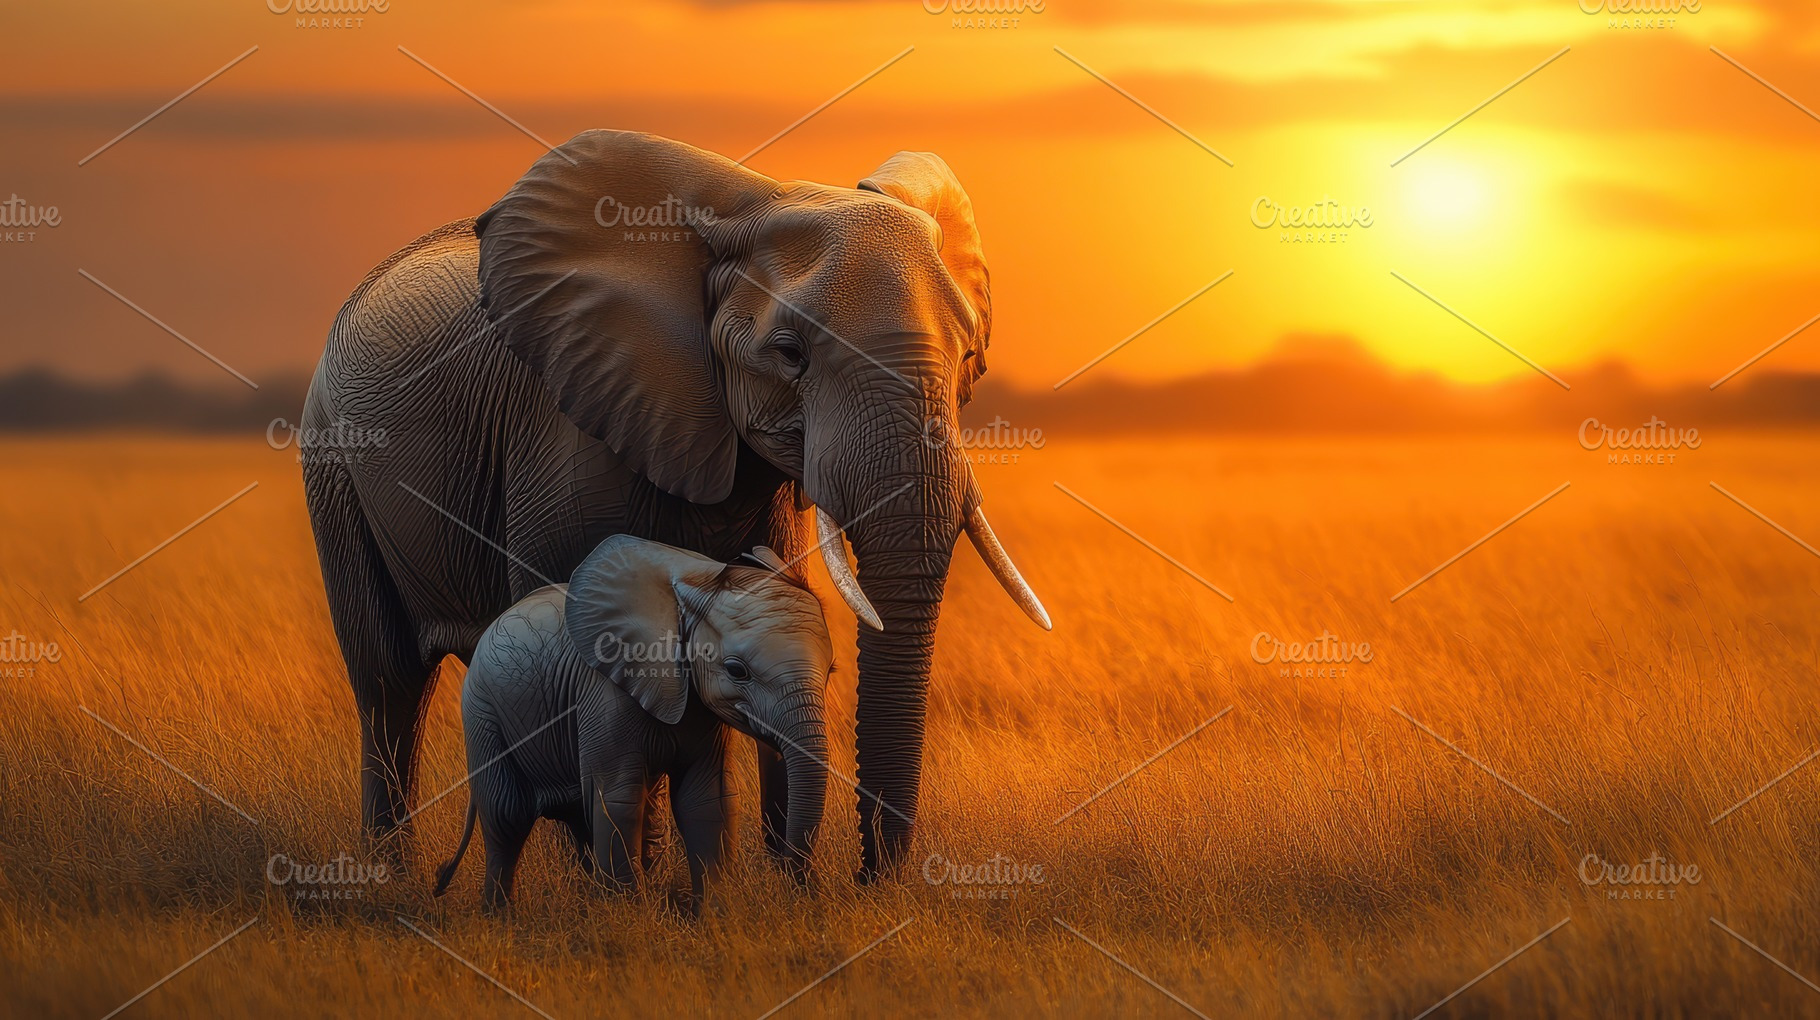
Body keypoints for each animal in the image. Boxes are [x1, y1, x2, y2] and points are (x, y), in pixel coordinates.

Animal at [431, 535, 832, 910]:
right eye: (737, 671)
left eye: (831, 671)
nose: (795, 885)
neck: (696, 584)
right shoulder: (604, 693)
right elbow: (619, 799)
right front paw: (629, 916)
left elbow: (707, 799)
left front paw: (715, 915)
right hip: (483, 711)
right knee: (507, 815)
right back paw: (500, 916)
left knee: (579, 818)